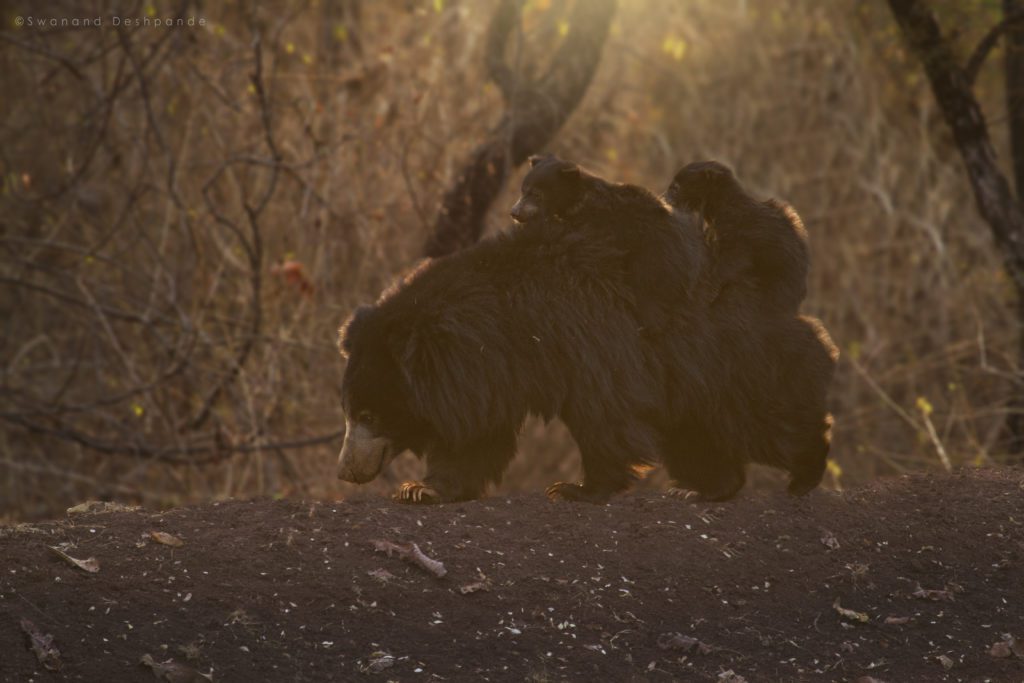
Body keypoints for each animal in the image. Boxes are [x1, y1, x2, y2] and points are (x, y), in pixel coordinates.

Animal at [339, 208, 835, 501]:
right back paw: (706, 488)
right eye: (349, 412)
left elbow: (604, 412)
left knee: (769, 419)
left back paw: (806, 472)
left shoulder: (584, 340)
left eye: (369, 415)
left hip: (734, 359)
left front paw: (578, 487)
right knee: (697, 434)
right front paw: (422, 489)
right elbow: (477, 438)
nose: (346, 471)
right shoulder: (496, 373)